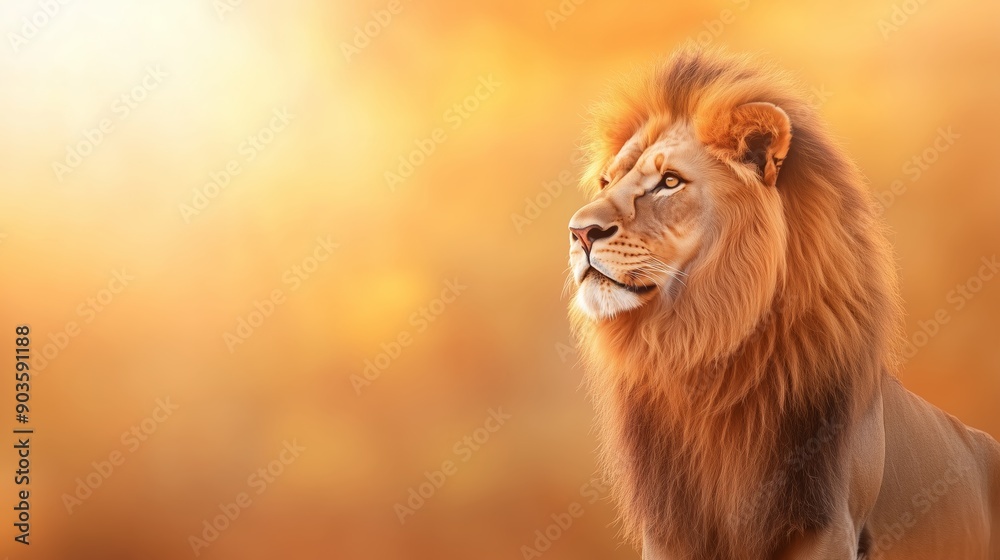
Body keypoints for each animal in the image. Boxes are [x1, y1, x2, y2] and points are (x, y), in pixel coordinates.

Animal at [566, 48, 1000, 559]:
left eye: (670, 181)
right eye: (606, 181)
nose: (579, 232)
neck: (702, 347)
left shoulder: (827, 523)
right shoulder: (672, 529)